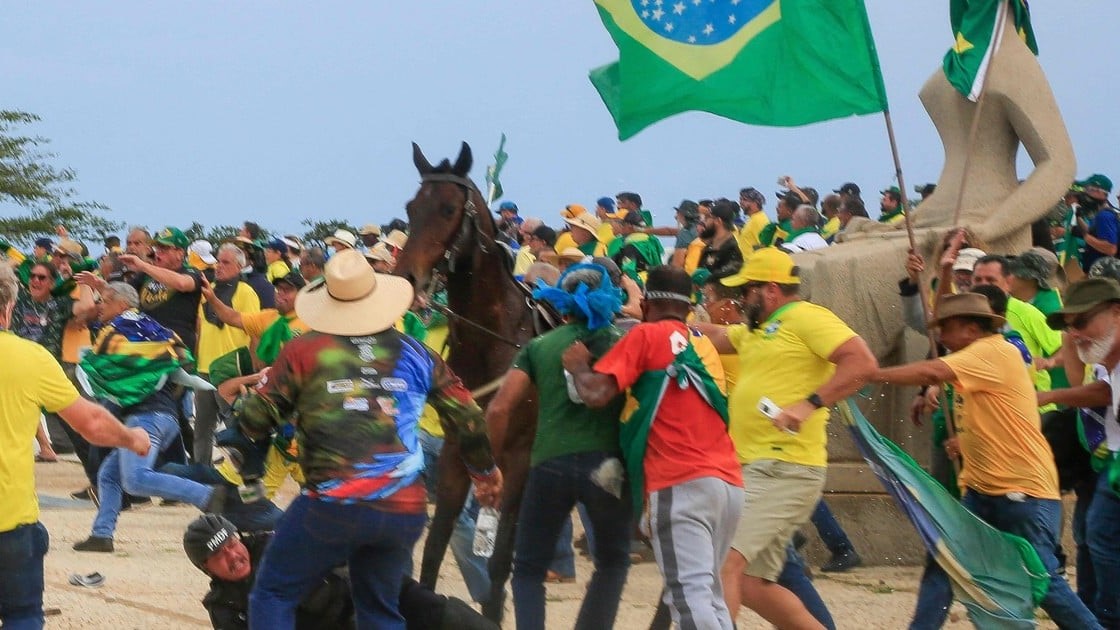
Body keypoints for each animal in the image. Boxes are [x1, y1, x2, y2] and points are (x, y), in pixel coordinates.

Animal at [396, 141, 539, 618]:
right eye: (411, 208)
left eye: (448, 208)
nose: (406, 277)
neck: (491, 339)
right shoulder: (458, 453)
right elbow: (434, 547)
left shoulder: (516, 459)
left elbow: (498, 561)